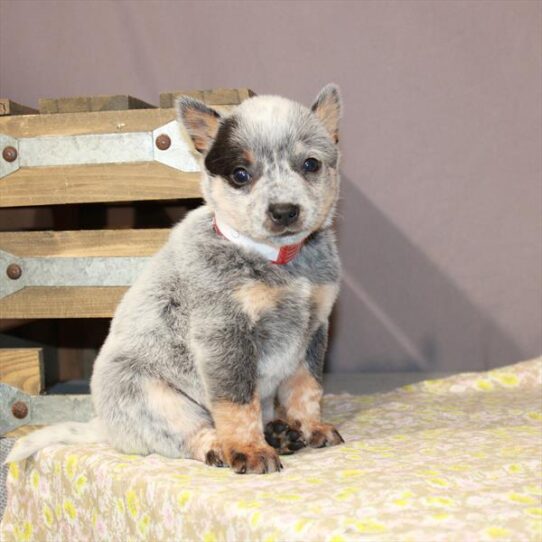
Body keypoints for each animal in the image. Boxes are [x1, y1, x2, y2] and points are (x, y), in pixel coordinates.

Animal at [7, 85, 344, 476]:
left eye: (310, 164)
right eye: (240, 174)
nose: (284, 211)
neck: (279, 261)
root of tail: (103, 427)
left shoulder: (313, 328)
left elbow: (306, 387)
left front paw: (311, 426)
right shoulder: (223, 334)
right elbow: (237, 402)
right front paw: (248, 449)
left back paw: (279, 432)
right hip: (152, 397)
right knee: (190, 434)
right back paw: (224, 446)